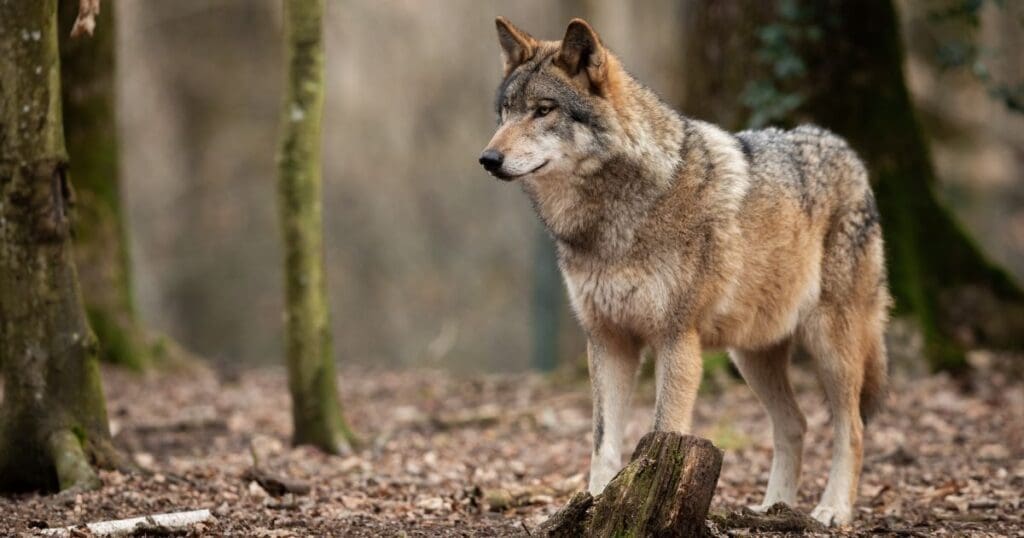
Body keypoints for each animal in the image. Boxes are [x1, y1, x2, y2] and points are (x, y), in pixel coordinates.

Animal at [478, 17, 890, 526]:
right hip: (751, 355)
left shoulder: (676, 340)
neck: (612, 219)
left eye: (543, 110)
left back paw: (832, 510)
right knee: (795, 423)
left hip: (831, 347)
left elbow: (662, 431)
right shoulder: (608, 340)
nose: (488, 160)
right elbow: (603, 443)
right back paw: (772, 508)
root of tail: (847, 150)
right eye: (505, 112)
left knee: (852, 428)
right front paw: (594, 505)